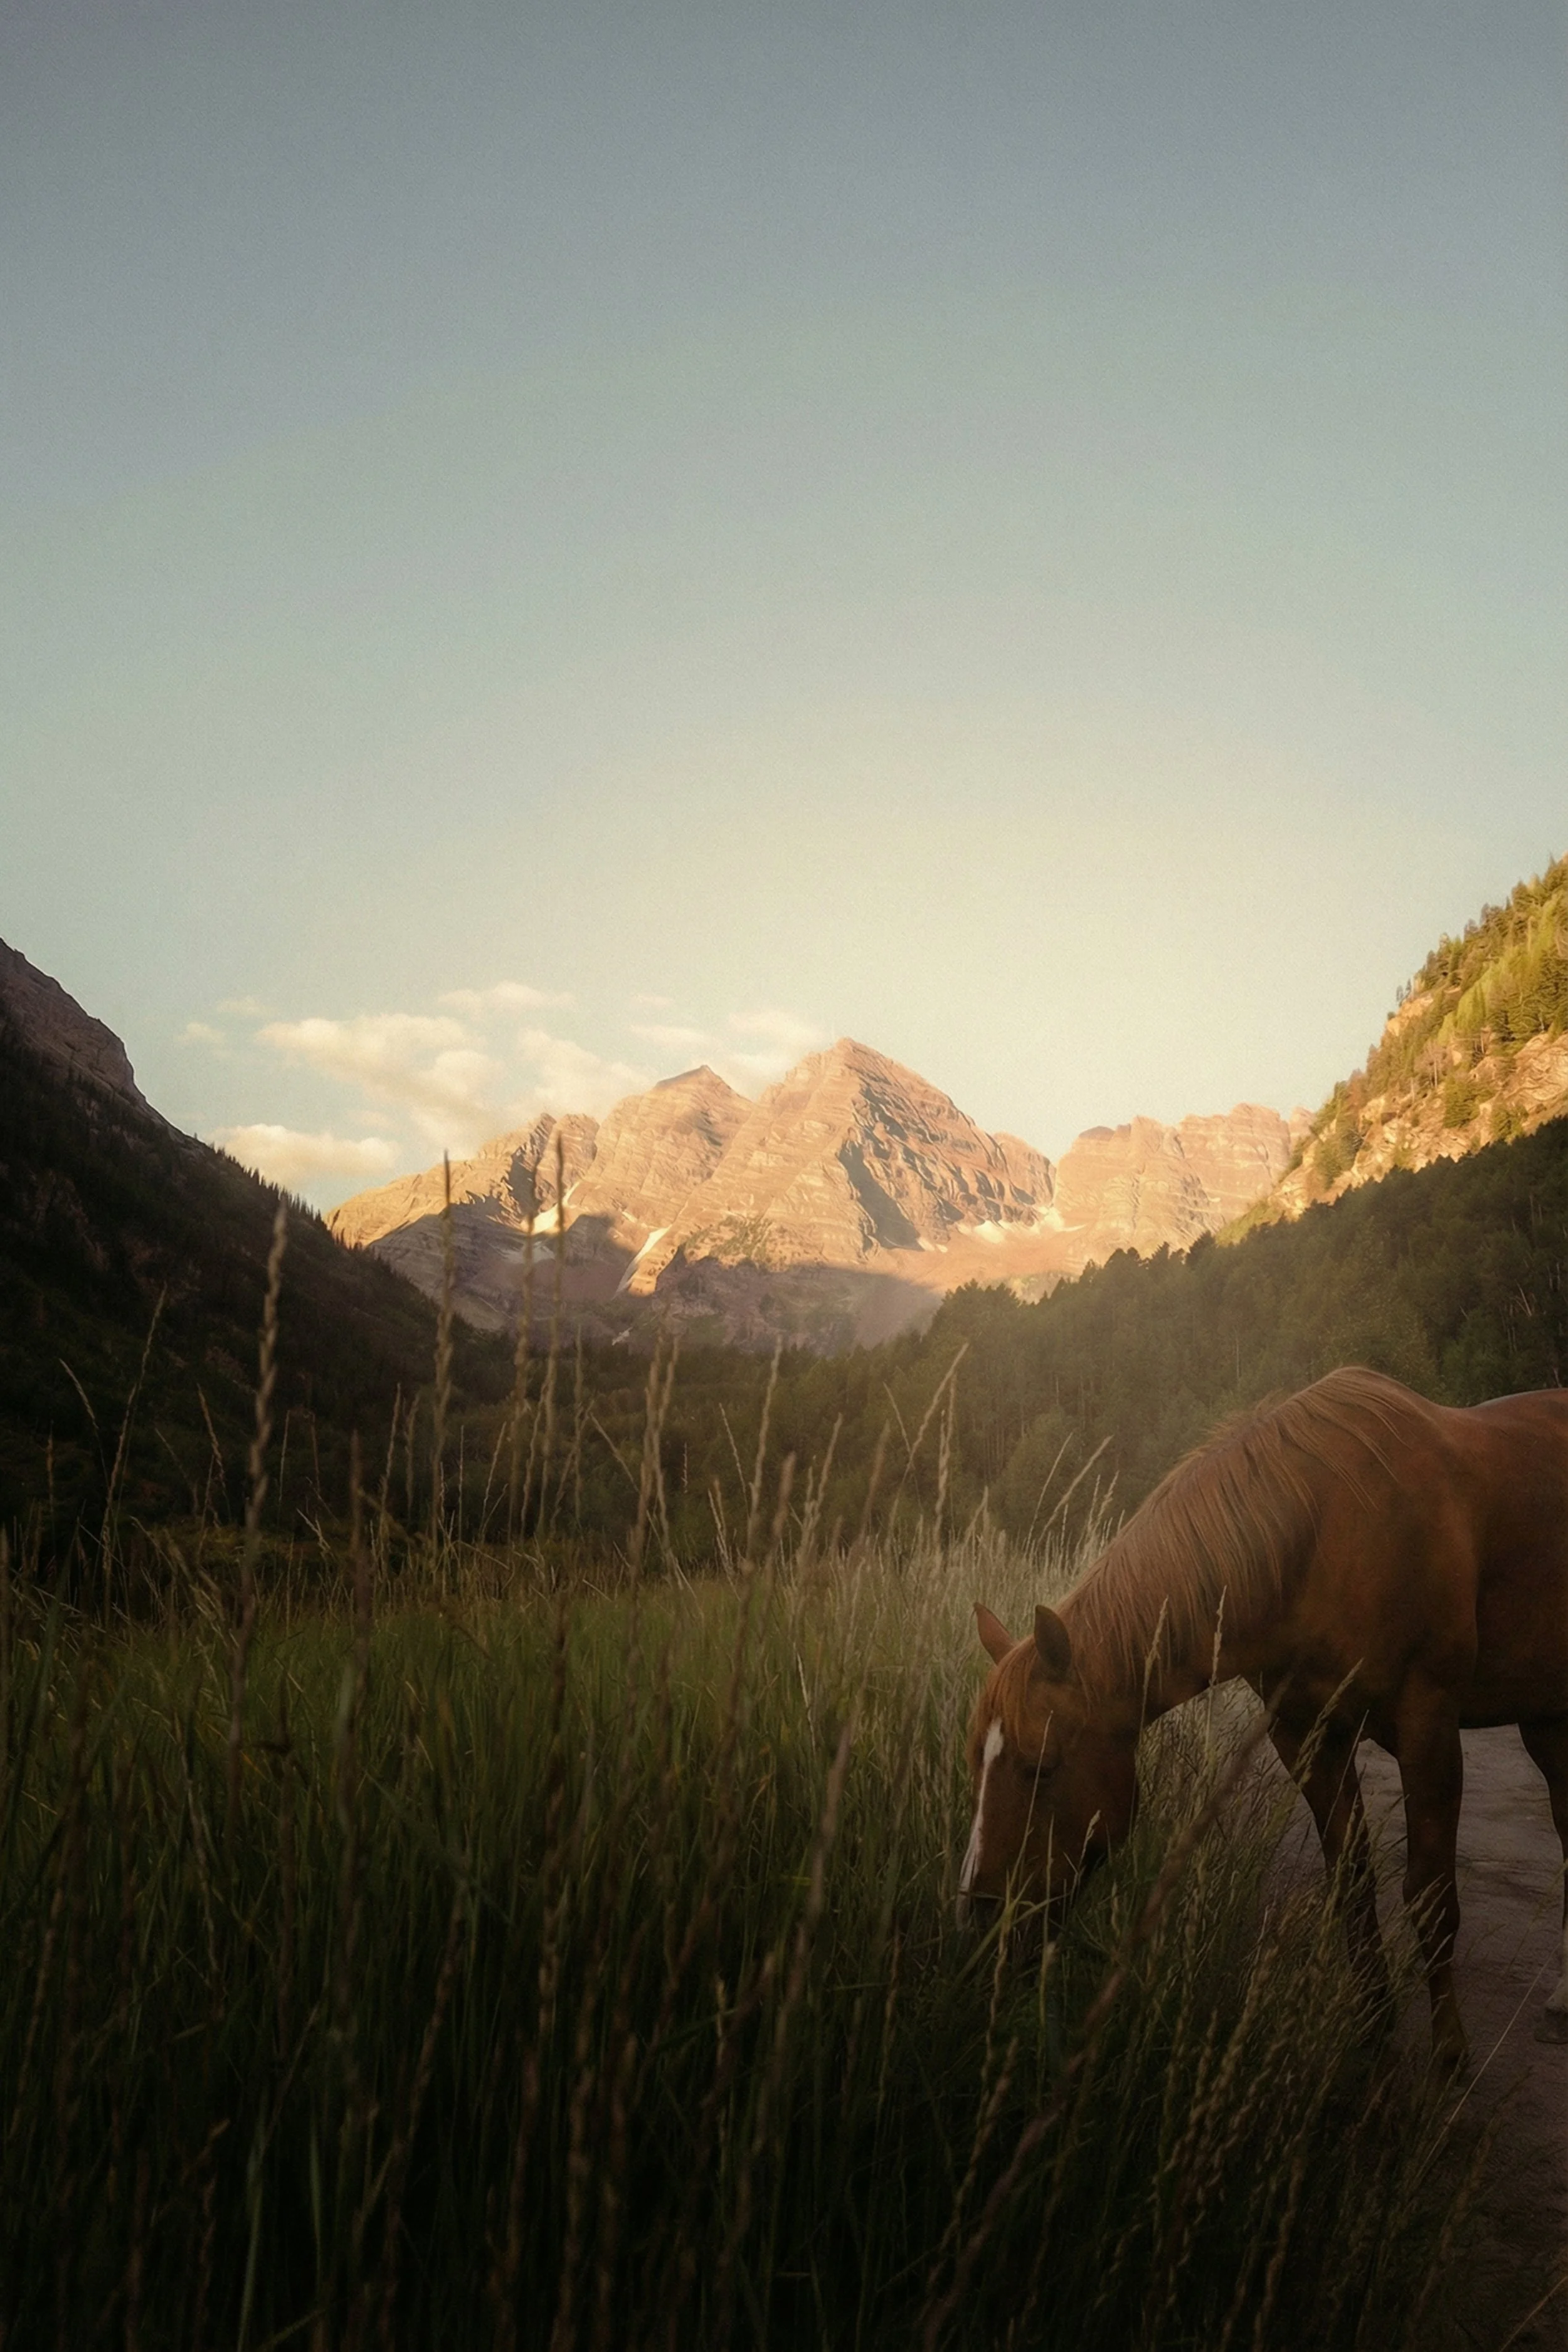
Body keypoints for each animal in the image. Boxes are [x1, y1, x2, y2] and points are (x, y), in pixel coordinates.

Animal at [960, 1367, 1568, 2069]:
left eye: (1041, 1767)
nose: (983, 1920)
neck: (1322, 1536)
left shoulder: (1429, 1725)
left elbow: (1430, 1895)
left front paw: (1449, 2058)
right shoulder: (1305, 1734)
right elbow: (1352, 1885)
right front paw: (1372, 2032)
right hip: (1546, 1717)